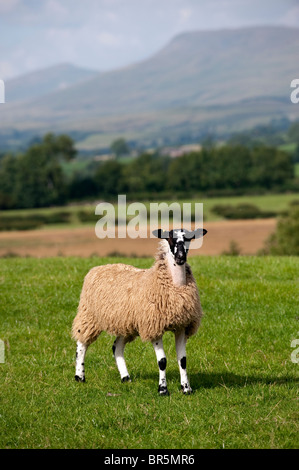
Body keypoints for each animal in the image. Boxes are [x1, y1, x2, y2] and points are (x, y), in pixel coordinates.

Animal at [73, 226, 209, 394]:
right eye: (169, 238)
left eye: (189, 238)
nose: (180, 258)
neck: (175, 285)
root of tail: (99, 267)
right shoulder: (154, 327)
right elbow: (162, 361)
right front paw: (163, 389)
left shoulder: (182, 326)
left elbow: (182, 360)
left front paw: (186, 388)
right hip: (89, 316)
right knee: (81, 344)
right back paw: (80, 377)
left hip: (125, 323)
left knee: (117, 347)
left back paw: (125, 377)